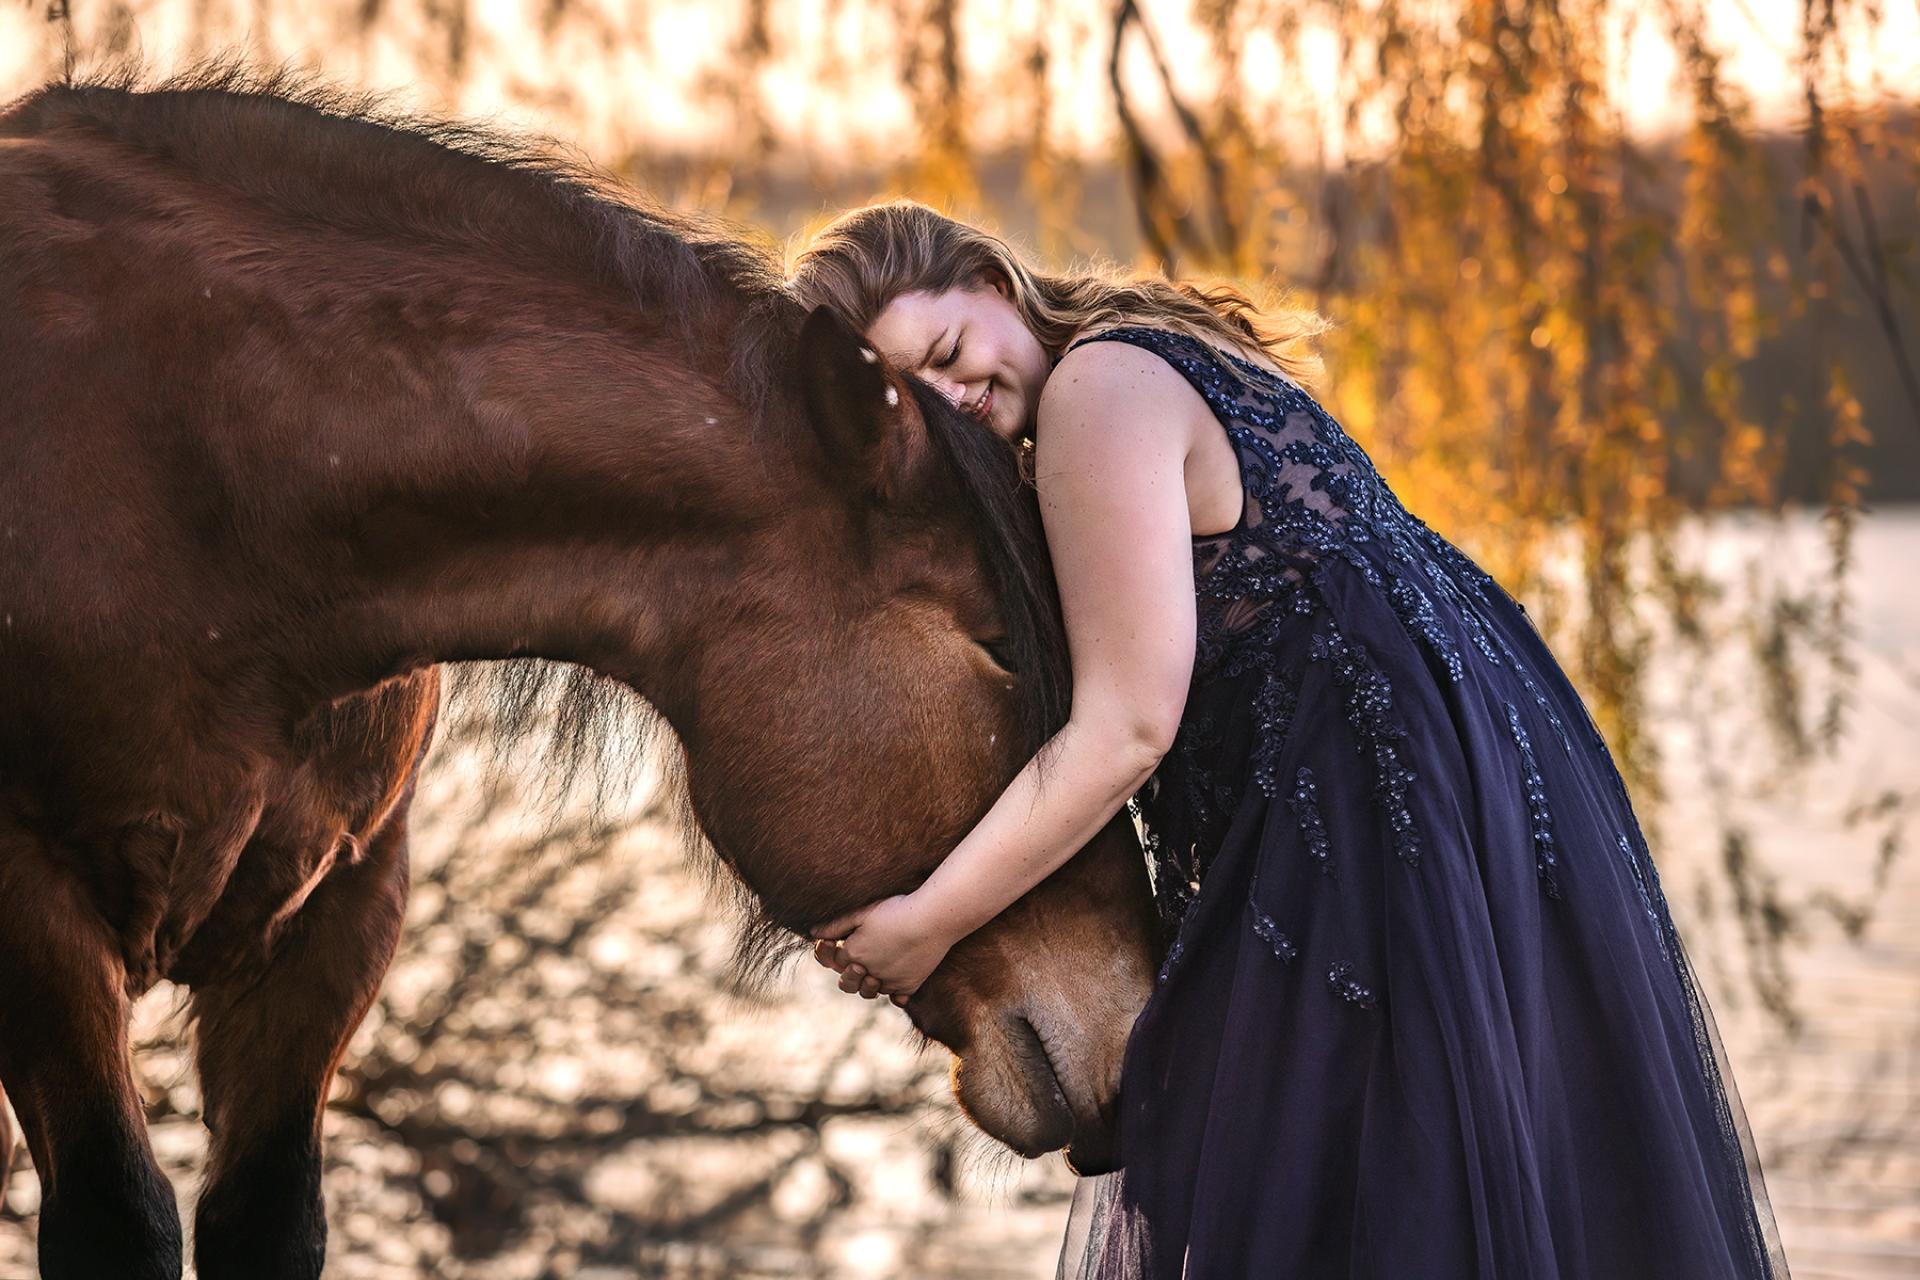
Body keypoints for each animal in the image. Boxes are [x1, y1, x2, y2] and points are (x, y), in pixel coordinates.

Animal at [0, 70, 1152, 1280]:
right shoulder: (30, 904)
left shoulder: (340, 911)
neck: (206, 459)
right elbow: (120, 1214)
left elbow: (268, 1216)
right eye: (1004, 643)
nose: (1134, 1027)